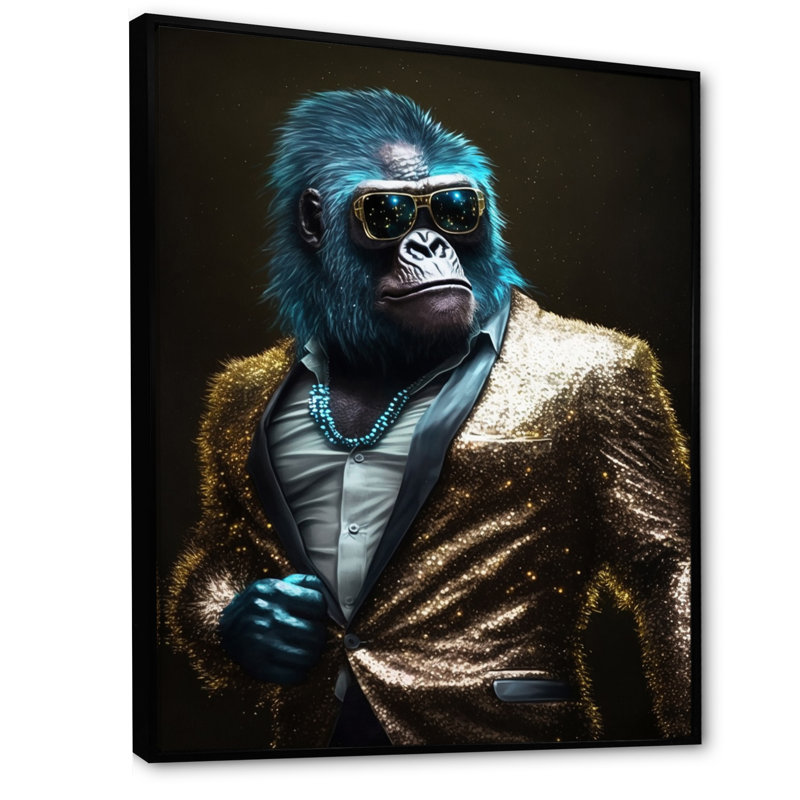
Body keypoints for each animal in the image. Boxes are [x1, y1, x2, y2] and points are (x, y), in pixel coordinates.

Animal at [167, 89, 691, 750]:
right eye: (387, 214)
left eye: (455, 209)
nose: (428, 244)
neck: (377, 358)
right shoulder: (229, 404)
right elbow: (220, 544)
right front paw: (263, 625)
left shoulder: (621, 392)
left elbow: (664, 564)